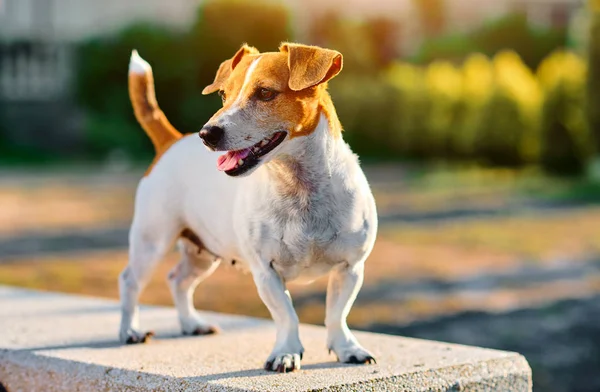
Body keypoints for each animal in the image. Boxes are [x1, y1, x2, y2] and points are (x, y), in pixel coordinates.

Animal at [119, 41, 378, 372]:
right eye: (223, 95)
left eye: (265, 93)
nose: (206, 134)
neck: (297, 187)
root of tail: (172, 141)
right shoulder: (265, 271)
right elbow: (286, 314)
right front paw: (286, 352)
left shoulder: (350, 268)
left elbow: (337, 314)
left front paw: (347, 349)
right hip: (151, 242)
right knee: (130, 281)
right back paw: (130, 331)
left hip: (203, 251)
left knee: (178, 280)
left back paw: (192, 324)